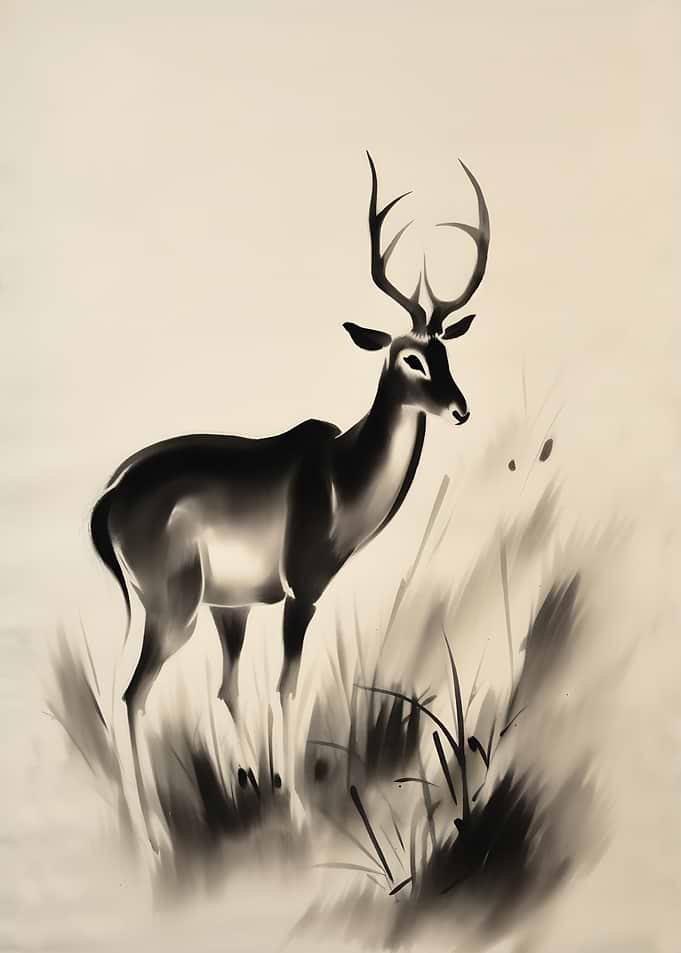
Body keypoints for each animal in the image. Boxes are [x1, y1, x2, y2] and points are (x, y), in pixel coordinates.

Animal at [90, 152, 490, 838]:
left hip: (180, 609)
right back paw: (155, 839)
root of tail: (110, 494)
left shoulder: (238, 607)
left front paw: (263, 788)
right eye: (409, 356)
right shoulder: (302, 592)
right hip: (172, 612)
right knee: (132, 696)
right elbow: (287, 687)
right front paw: (299, 814)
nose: (460, 408)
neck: (340, 480)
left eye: (444, 353)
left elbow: (232, 689)